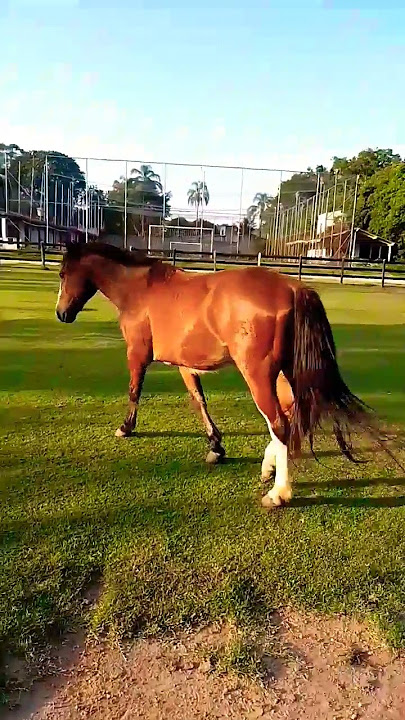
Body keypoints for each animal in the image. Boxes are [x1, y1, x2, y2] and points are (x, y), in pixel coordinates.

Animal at [56, 245, 370, 510]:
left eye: (62, 274)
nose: (62, 313)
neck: (141, 291)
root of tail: (294, 288)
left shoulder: (137, 354)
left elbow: (135, 391)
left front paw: (126, 428)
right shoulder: (185, 365)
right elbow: (200, 402)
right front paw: (216, 447)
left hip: (258, 375)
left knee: (279, 423)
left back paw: (278, 493)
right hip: (284, 374)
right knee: (291, 415)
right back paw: (268, 468)